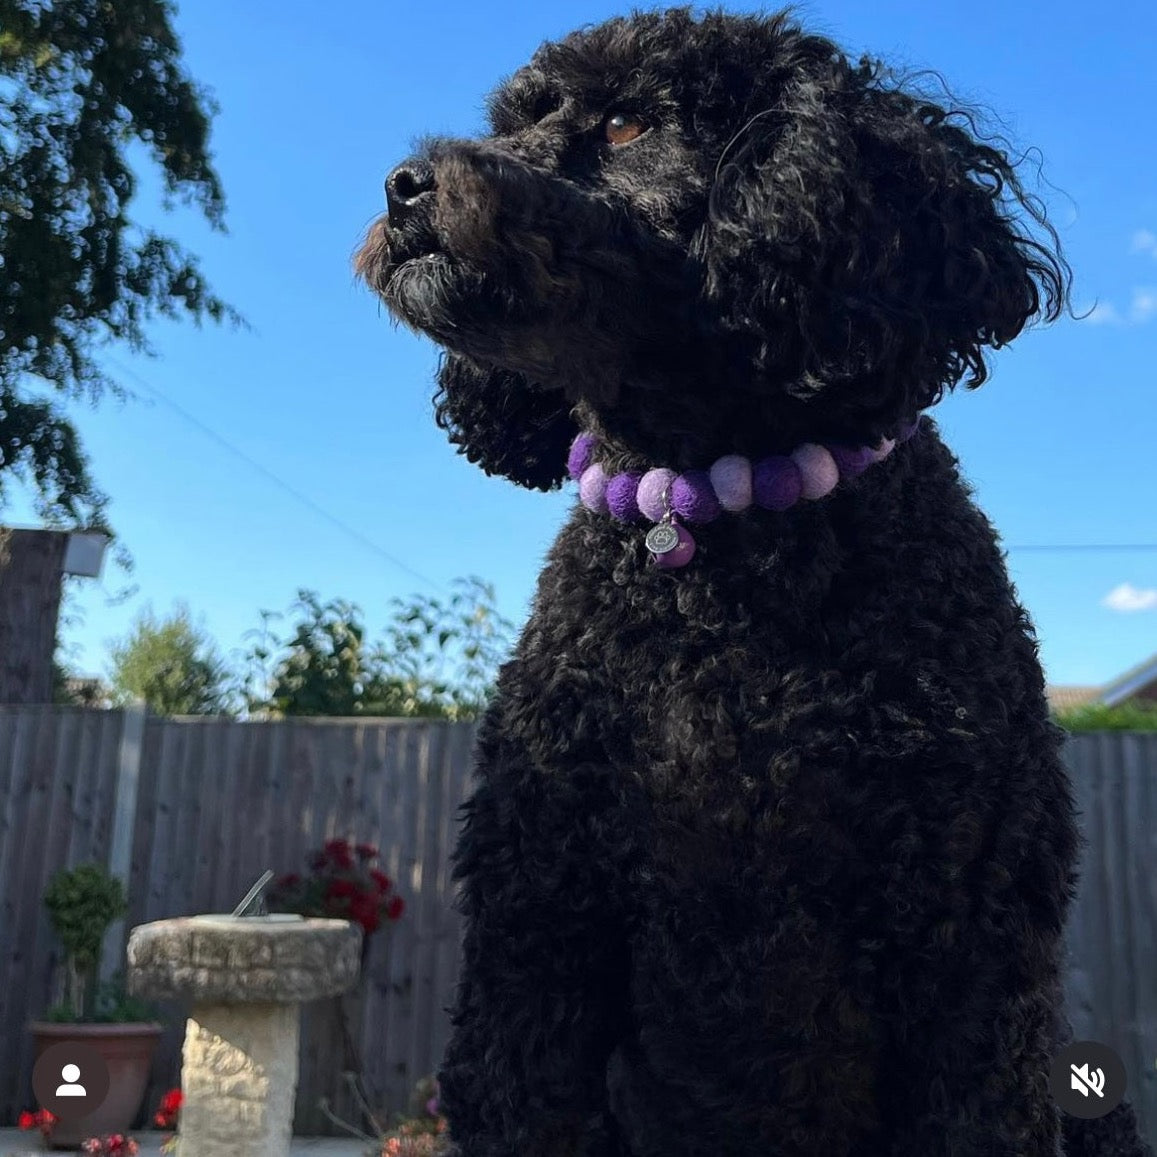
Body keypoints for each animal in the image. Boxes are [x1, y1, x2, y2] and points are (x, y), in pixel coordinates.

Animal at [356, 9, 1152, 1157]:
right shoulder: (538, 925)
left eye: (628, 122)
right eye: (511, 121)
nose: (403, 183)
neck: (712, 534)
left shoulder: (971, 941)